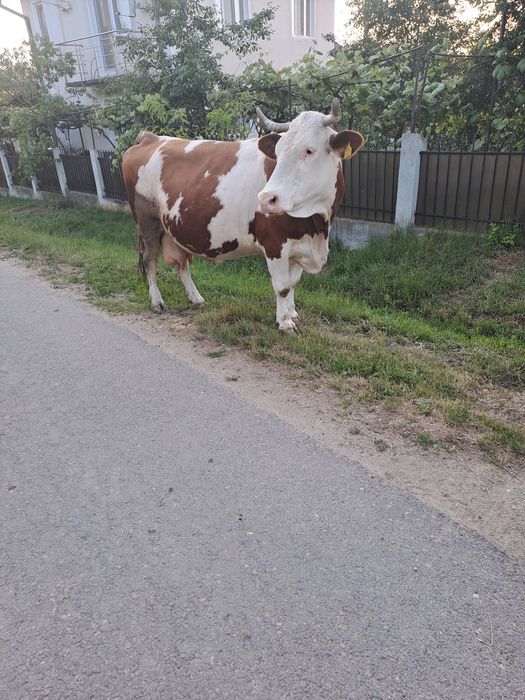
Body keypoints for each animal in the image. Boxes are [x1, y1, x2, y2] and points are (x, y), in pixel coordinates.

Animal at [121, 98, 364, 331]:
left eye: (309, 150)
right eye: (277, 153)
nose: (266, 199)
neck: (316, 227)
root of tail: (150, 137)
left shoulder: (299, 244)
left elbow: (294, 283)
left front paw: (293, 313)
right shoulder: (274, 244)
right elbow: (282, 286)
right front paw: (284, 322)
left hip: (174, 226)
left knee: (182, 263)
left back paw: (196, 298)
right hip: (147, 223)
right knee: (150, 260)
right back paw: (157, 301)